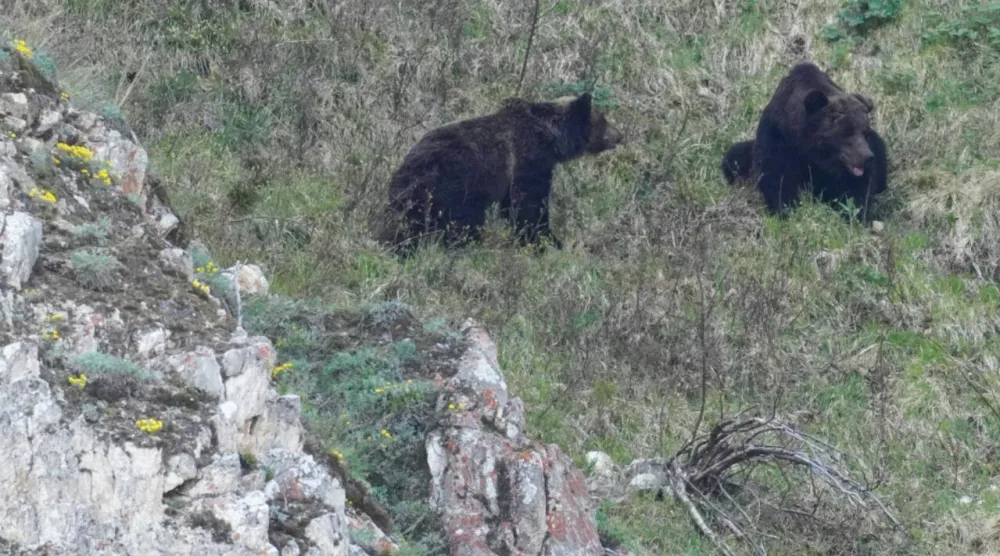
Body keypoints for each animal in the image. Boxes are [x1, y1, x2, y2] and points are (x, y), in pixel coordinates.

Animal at [381, 92, 623, 253]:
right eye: (603, 120)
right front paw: (549, 241)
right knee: (463, 222)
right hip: (457, 184)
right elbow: (529, 207)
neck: (550, 138)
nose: (620, 135)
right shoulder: (528, 162)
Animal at [721, 62, 888, 223]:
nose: (867, 157)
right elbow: (778, 177)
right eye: (847, 132)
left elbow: (857, 188)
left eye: (865, 131)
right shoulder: (778, 139)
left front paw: (856, 214)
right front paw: (787, 210)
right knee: (735, 156)